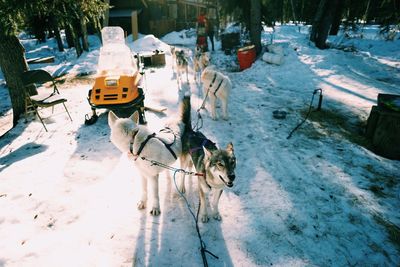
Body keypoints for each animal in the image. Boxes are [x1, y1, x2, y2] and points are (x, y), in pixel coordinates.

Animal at [180, 93, 236, 223]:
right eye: (220, 164)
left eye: (233, 162)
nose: (232, 176)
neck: (213, 181)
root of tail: (191, 131)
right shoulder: (202, 189)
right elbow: (204, 203)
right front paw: (205, 215)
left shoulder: (219, 190)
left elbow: (215, 203)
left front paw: (215, 213)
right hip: (184, 161)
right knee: (182, 174)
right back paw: (182, 187)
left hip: (191, 161)